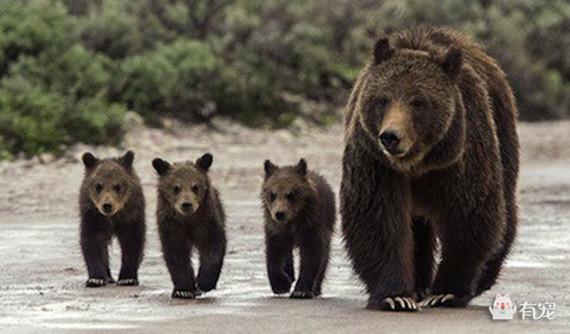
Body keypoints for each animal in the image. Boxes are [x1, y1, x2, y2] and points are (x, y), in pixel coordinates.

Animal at [340, 27, 516, 312]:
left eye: (418, 102)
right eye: (383, 99)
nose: (390, 136)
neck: (418, 162)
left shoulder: (460, 156)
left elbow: (469, 214)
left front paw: (446, 292)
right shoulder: (376, 162)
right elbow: (378, 219)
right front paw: (396, 296)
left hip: (502, 129)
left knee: (505, 206)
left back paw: (484, 277)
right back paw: (419, 285)